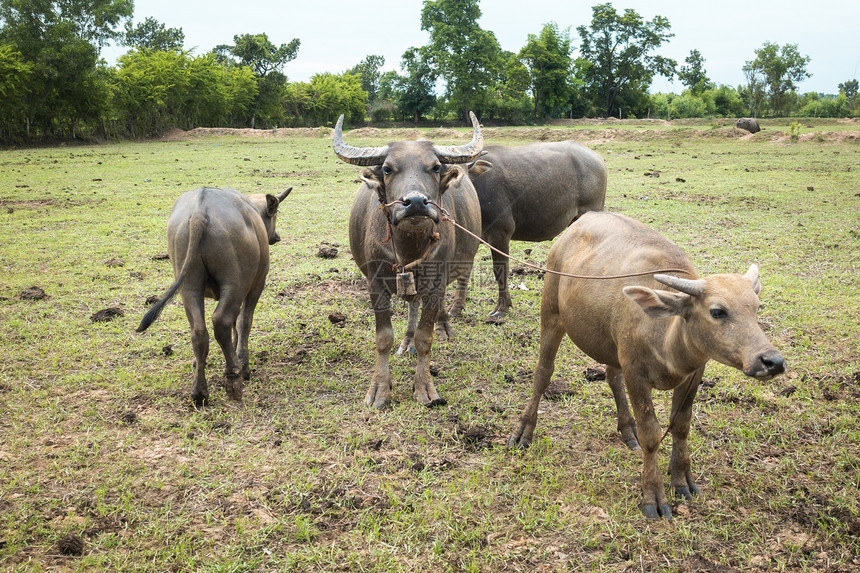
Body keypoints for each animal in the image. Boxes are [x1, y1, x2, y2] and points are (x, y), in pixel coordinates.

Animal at [138, 185, 290, 404]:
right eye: (276, 214)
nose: (276, 236)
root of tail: (200, 213)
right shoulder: (256, 285)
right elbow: (243, 322)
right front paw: (243, 363)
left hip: (189, 285)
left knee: (199, 331)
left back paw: (200, 392)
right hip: (235, 284)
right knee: (222, 321)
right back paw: (234, 377)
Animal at [330, 111, 490, 406]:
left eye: (436, 167)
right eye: (387, 168)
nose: (415, 202)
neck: (410, 248)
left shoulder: (436, 283)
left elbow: (426, 337)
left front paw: (424, 387)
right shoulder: (376, 285)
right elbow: (384, 338)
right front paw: (379, 389)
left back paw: (443, 327)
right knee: (412, 305)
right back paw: (407, 341)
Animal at [510, 212, 788, 520]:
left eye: (756, 307)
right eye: (717, 311)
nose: (772, 361)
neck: (666, 338)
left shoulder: (694, 374)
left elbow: (681, 425)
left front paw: (682, 479)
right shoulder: (636, 374)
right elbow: (651, 434)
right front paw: (653, 496)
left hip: (611, 346)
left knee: (611, 376)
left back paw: (626, 428)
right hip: (551, 313)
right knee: (543, 373)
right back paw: (523, 432)